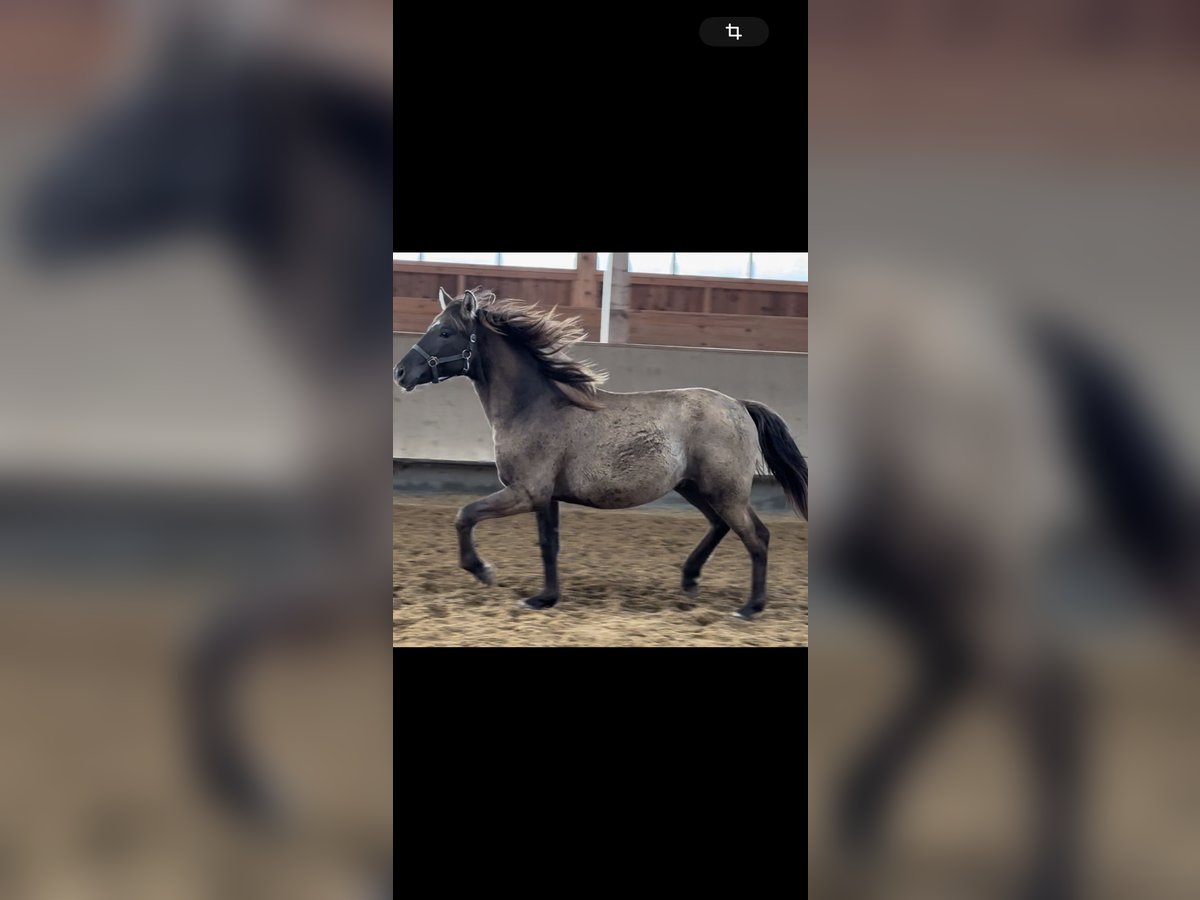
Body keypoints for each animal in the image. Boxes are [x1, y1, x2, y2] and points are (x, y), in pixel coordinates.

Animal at [394, 287, 809, 620]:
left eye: (445, 332)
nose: (400, 372)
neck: (531, 408)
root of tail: (739, 405)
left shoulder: (525, 493)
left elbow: (464, 515)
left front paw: (483, 570)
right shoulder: (545, 498)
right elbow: (548, 545)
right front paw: (544, 598)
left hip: (726, 492)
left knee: (757, 537)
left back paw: (750, 607)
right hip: (695, 488)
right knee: (720, 526)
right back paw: (690, 580)